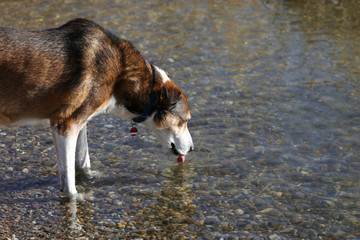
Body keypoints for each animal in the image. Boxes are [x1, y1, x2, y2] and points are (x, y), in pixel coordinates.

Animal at [0, 18, 194, 198]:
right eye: (184, 120)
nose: (192, 149)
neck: (121, 73)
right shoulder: (66, 125)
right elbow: (69, 183)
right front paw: (76, 198)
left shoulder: (78, 124)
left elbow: (82, 163)